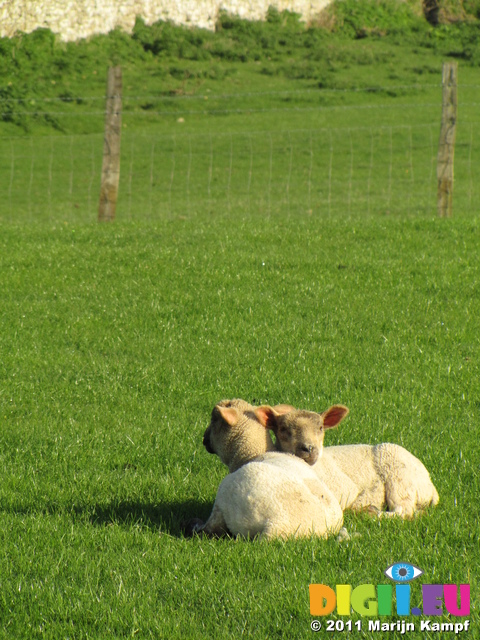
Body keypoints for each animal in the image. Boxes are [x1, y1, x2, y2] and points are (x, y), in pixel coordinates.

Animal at [182, 400, 344, 540]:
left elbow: (206, 529)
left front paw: (191, 524)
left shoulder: (218, 508)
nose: (204, 438)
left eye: (214, 419)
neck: (252, 453)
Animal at [256, 404, 440, 520]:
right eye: (283, 429)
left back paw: (370, 512)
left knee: (404, 510)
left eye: (321, 428)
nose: (308, 448)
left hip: (399, 476)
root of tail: (430, 484)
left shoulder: (344, 486)